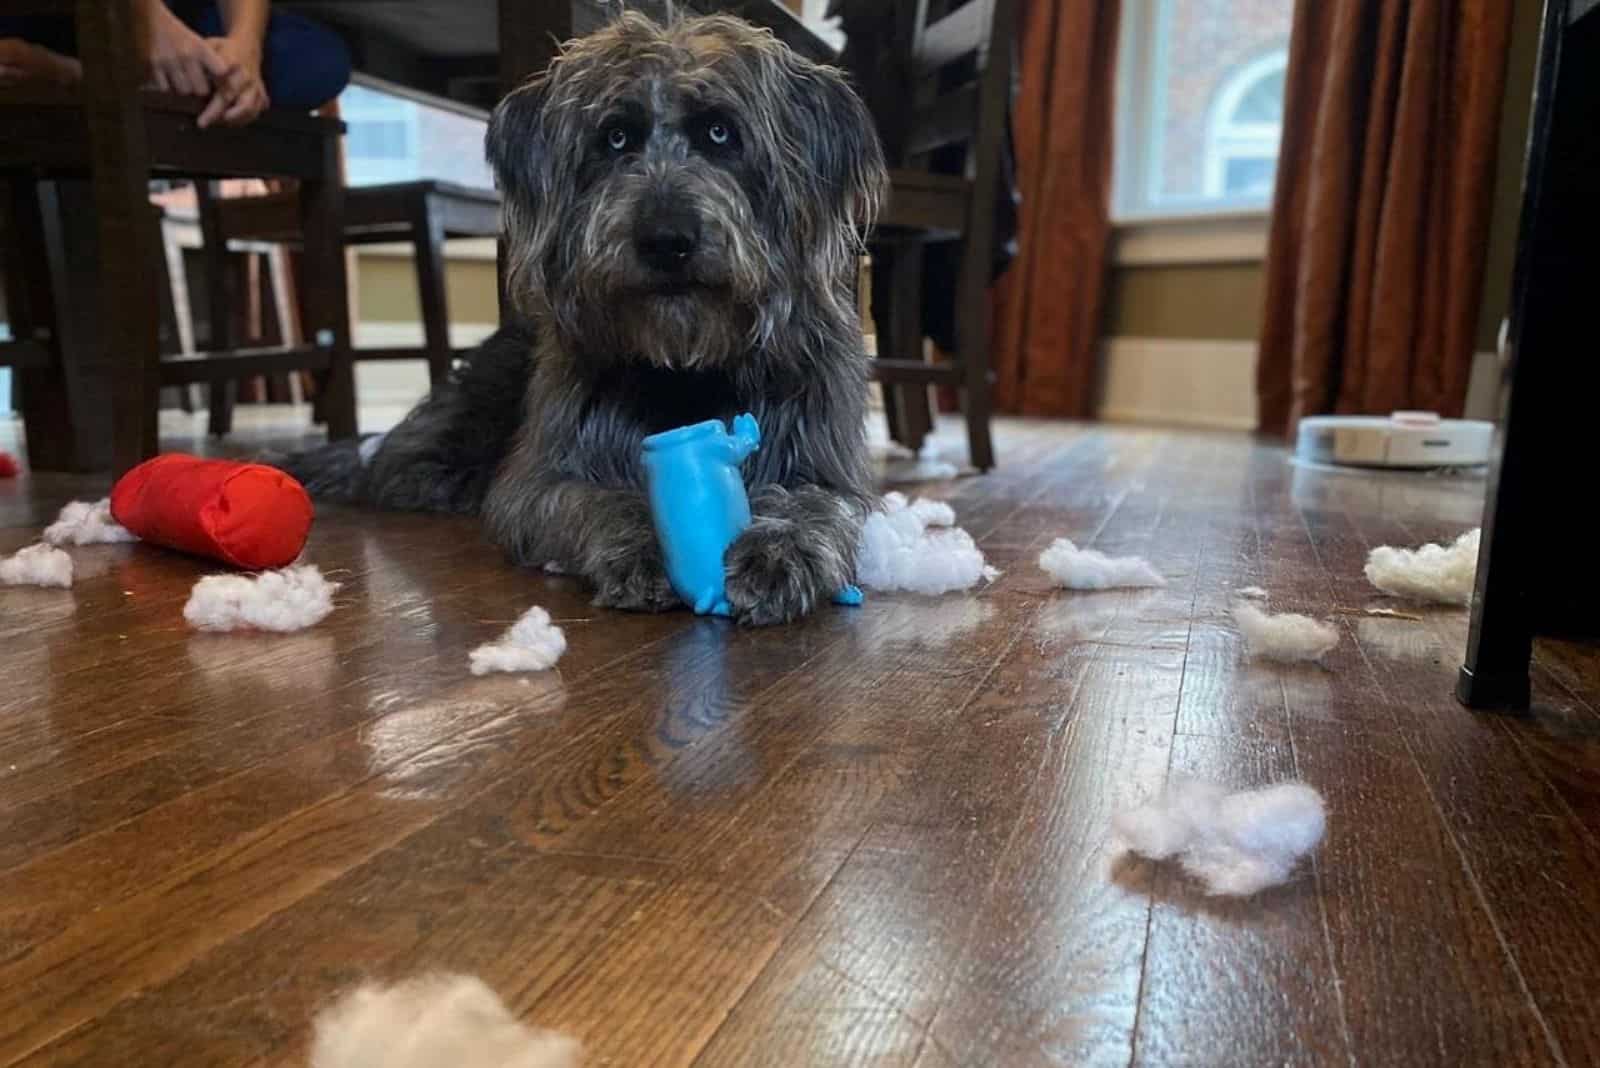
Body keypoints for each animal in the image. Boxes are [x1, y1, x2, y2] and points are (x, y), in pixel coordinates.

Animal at [288, 14, 889, 626]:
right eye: (615, 137)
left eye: (720, 133)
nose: (666, 240)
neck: (687, 366)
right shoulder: (537, 480)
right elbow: (586, 498)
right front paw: (639, 540)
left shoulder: (825, 459)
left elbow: (818, 502)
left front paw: (780, 547)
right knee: (402, 463)